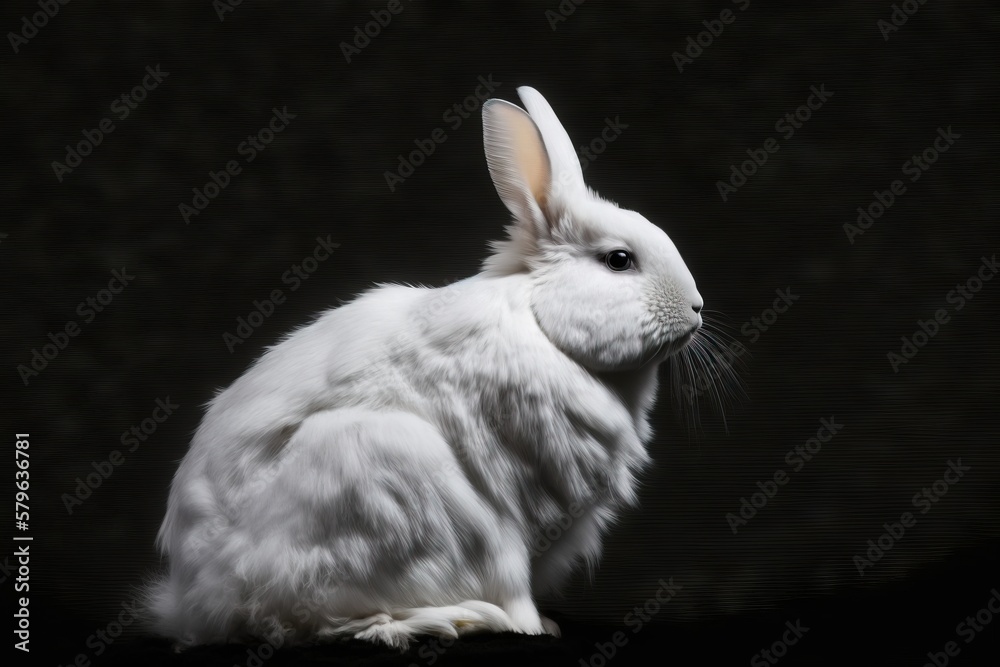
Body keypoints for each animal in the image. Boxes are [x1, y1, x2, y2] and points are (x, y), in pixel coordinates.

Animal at [146, 86, 704, 648]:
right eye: (619, 260)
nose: (698, 308)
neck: (543, 326)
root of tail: (202, 601)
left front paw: (545, 624)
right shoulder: (511, 521)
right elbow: (514, 582)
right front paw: (531, 627)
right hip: (381, 475)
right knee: (314, 620)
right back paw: (441, 620)